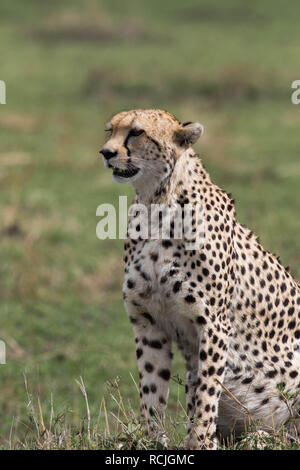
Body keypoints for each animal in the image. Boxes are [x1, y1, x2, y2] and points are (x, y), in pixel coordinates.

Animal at [99, 108, 298, 450]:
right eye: (111, 130)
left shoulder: (213, 325)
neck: (155, 204)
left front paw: (199, 443)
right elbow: (152, 390)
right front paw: (154, 441)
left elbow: (206, 394)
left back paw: (261, 437)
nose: (106, 152)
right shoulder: (148, 322)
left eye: (137, 132)